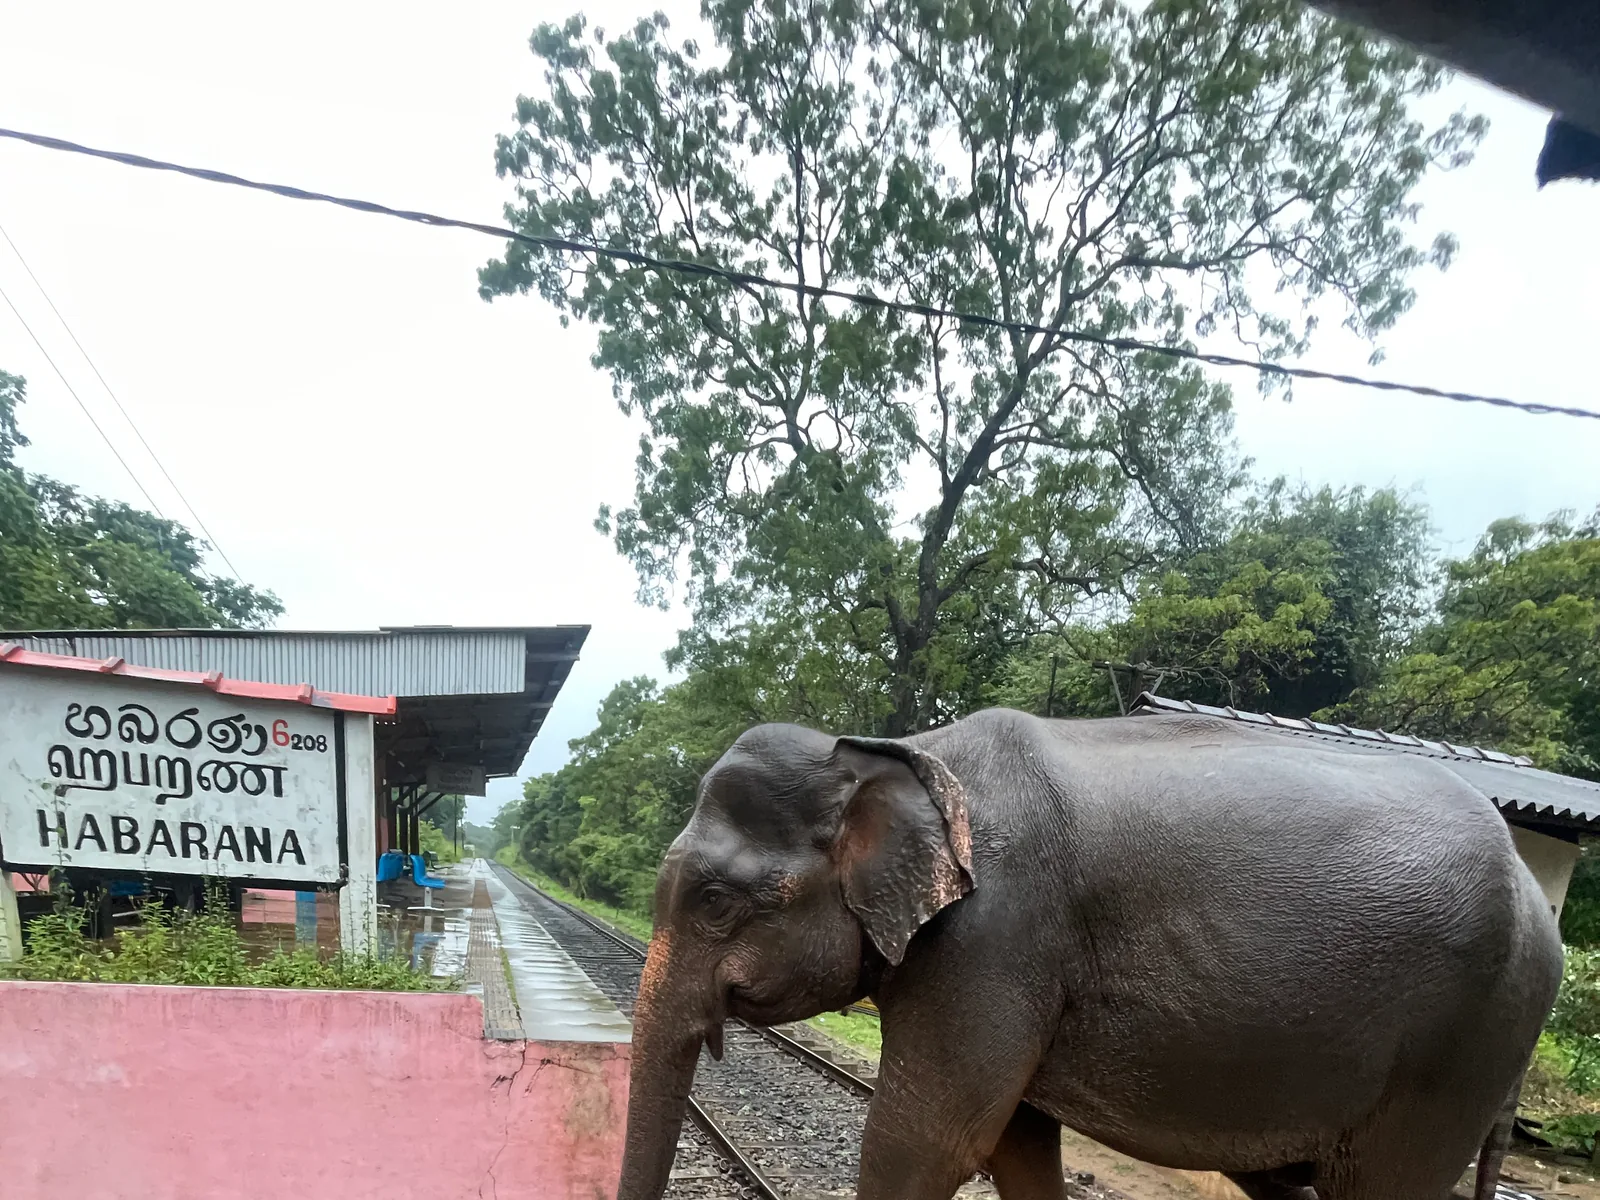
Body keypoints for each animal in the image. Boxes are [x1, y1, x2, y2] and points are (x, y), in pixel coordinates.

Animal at [616, 707, 1563, 1200]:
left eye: (715, 903)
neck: (896, 748)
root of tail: (1535, 889)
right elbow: (1015, 1144)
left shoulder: (996, 941)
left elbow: (926, 1141)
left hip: (1461, 1050)